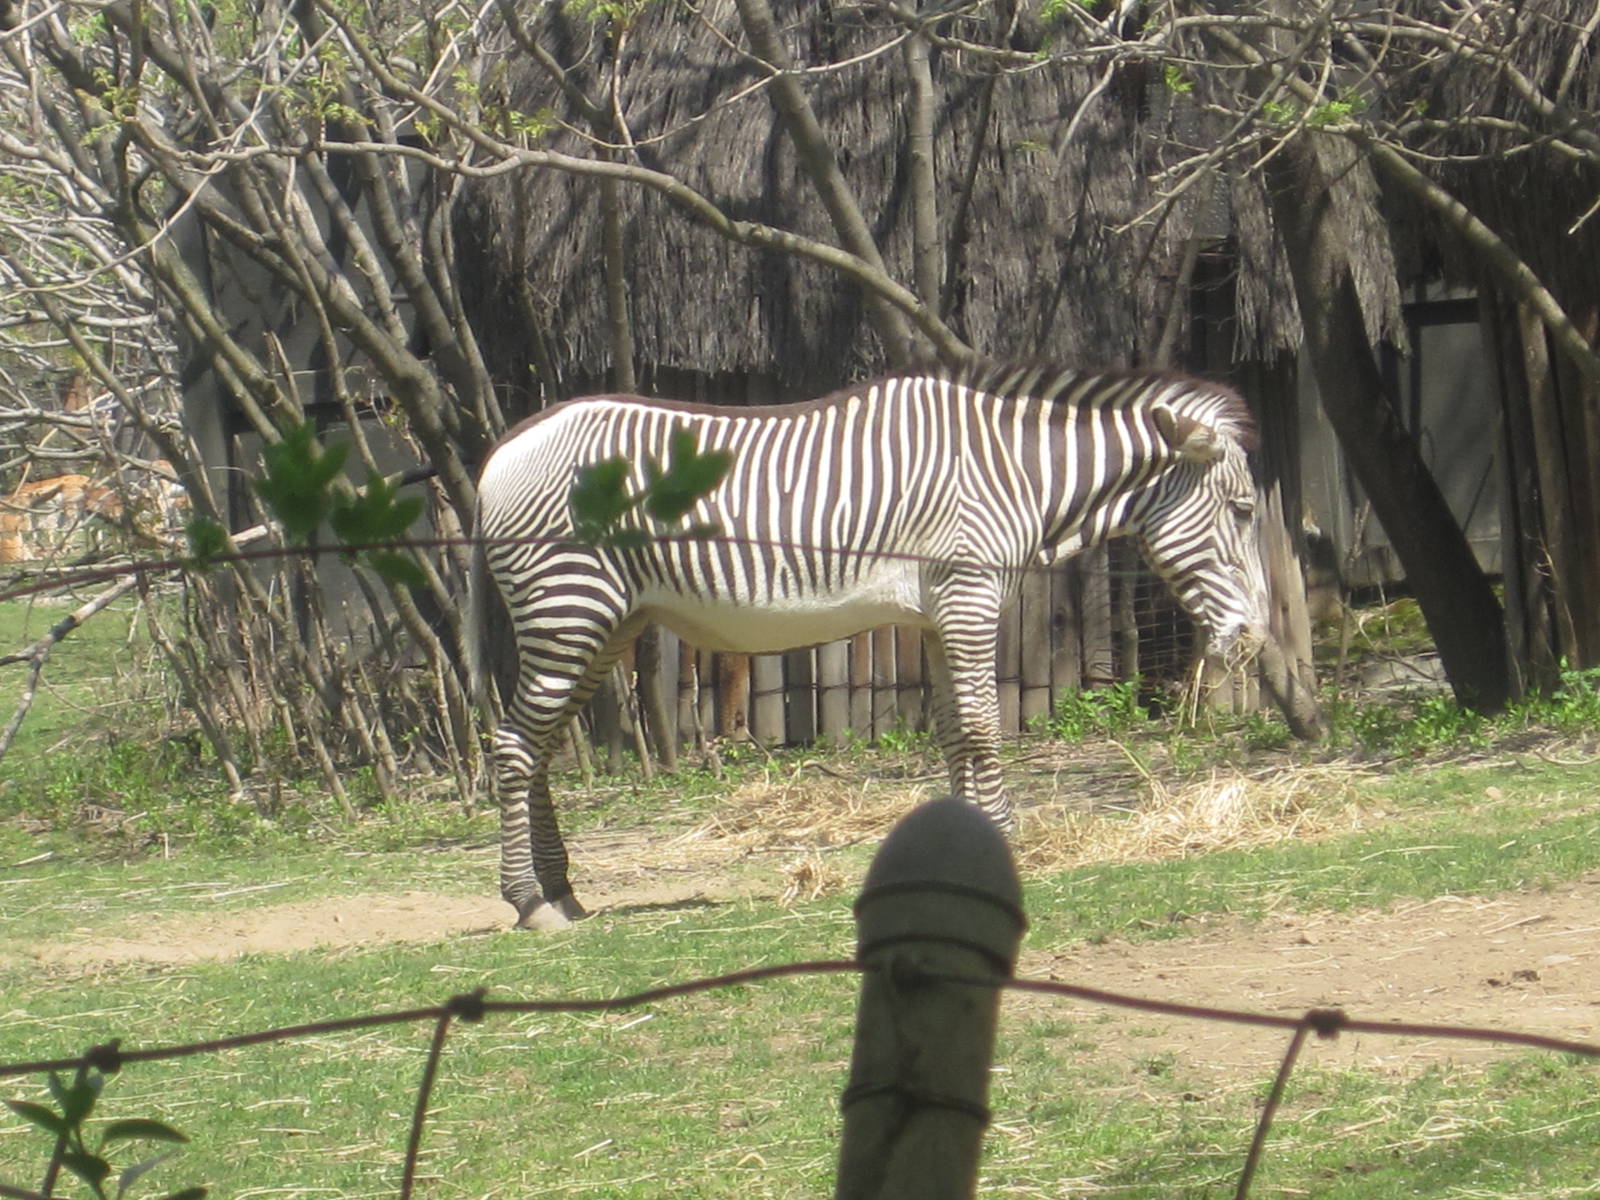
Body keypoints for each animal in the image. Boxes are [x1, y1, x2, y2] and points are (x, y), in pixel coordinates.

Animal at [468, 360, 1270, 929]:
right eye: (1243, 510)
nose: (1255, 641)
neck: (1012, 473)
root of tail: (502, 448)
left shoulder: (939, 613)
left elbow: (956, 734)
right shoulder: (969, 594)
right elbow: (984, 728)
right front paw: (1003, 841)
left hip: (606, 621)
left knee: (538, 747)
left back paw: (562, 891)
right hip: (570, 606)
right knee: (513, 744)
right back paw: (529, 902)